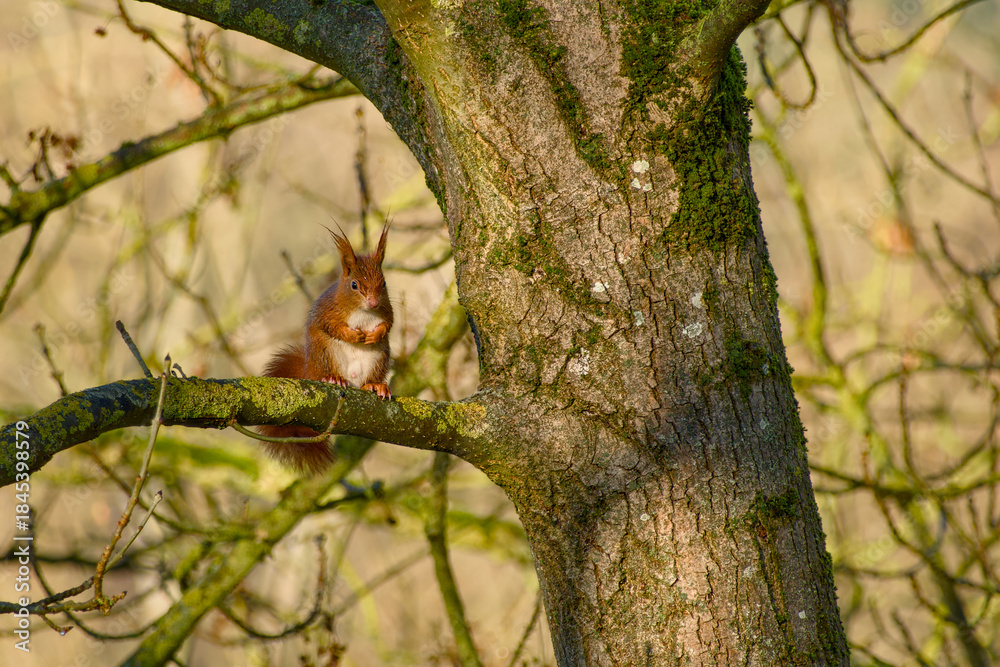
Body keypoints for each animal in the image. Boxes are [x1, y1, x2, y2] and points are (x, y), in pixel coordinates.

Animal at [258, 225, 393, 473]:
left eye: (384, 283)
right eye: (354, 285)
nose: (373, 303)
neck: (364, 312)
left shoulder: (387, 310)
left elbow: (388, 324)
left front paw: (374, 334)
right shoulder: (328, 311)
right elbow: (331, 326)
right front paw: (353, 335)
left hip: (379, 357)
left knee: (370, 378)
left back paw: (375, 385)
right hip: (324, 352)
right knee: (325, 371)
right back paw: (333, 378)